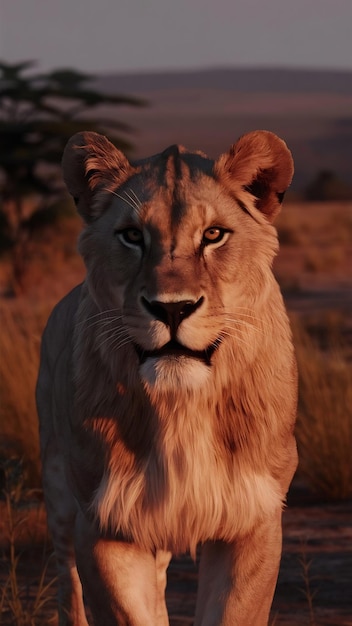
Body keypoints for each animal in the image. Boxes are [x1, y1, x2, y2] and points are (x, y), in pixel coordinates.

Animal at [36, 129, 296, 620]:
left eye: (213, 235)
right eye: (132, 236)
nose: (172, 308)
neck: (181, 404)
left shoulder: (254, 519)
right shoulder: (102, 522)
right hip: (60, 497)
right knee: (68, 588)